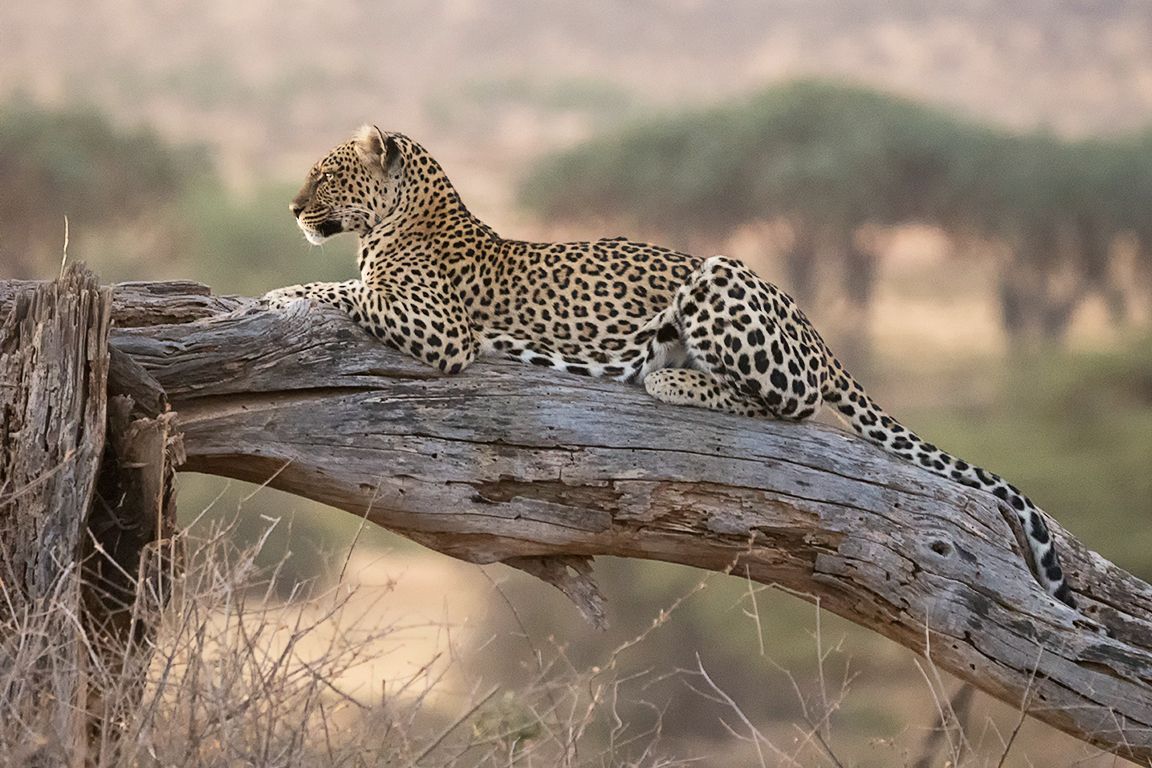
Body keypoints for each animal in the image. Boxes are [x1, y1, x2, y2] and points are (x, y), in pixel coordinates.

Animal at [264, 125, 1077, 608]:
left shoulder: (440, 331)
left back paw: (668, 375)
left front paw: (282, 291)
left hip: (720, 276)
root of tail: (814, 327)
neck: (397, 219)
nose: (292, 209)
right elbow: (345, 286)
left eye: (325, 176)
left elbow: (345, 290)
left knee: (796, 401)